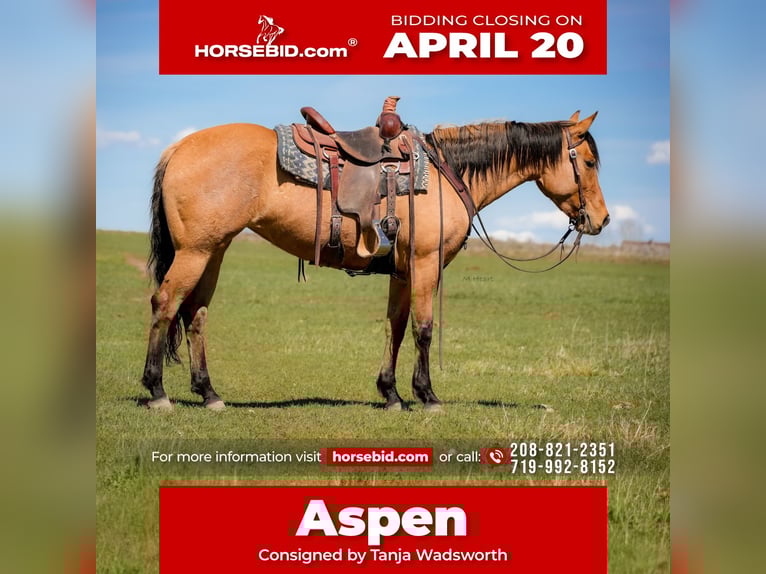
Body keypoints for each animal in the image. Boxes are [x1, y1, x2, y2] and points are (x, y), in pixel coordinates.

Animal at [141, 108, 609, 411]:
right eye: (588, 162)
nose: (601, 219)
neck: (447, 173)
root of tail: (178, 147)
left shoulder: (401, 272)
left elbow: (395, 328)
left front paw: (391, 394)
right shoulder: (424, 264)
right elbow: (423, 329)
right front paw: (427, 396)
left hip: (214, 251)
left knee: (196, 314)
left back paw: (209, 394)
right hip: (196, 252)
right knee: (165, 305)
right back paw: (157, 391)